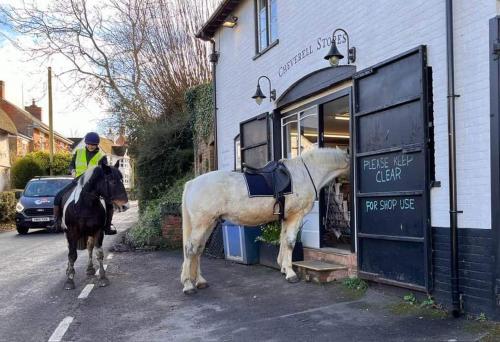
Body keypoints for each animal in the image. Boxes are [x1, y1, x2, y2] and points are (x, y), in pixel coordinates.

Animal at [180, 147, 348, 294]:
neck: (305, 173)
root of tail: (191, 183)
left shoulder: (286, 217)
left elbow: (283, 240)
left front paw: (283, 268)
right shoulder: (296, 216)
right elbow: (290, 242)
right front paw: (291, 274)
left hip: (210, 223)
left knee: (198, 250)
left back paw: (200, 281)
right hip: (202, 224)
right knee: (190, 250)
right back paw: (188, 285)